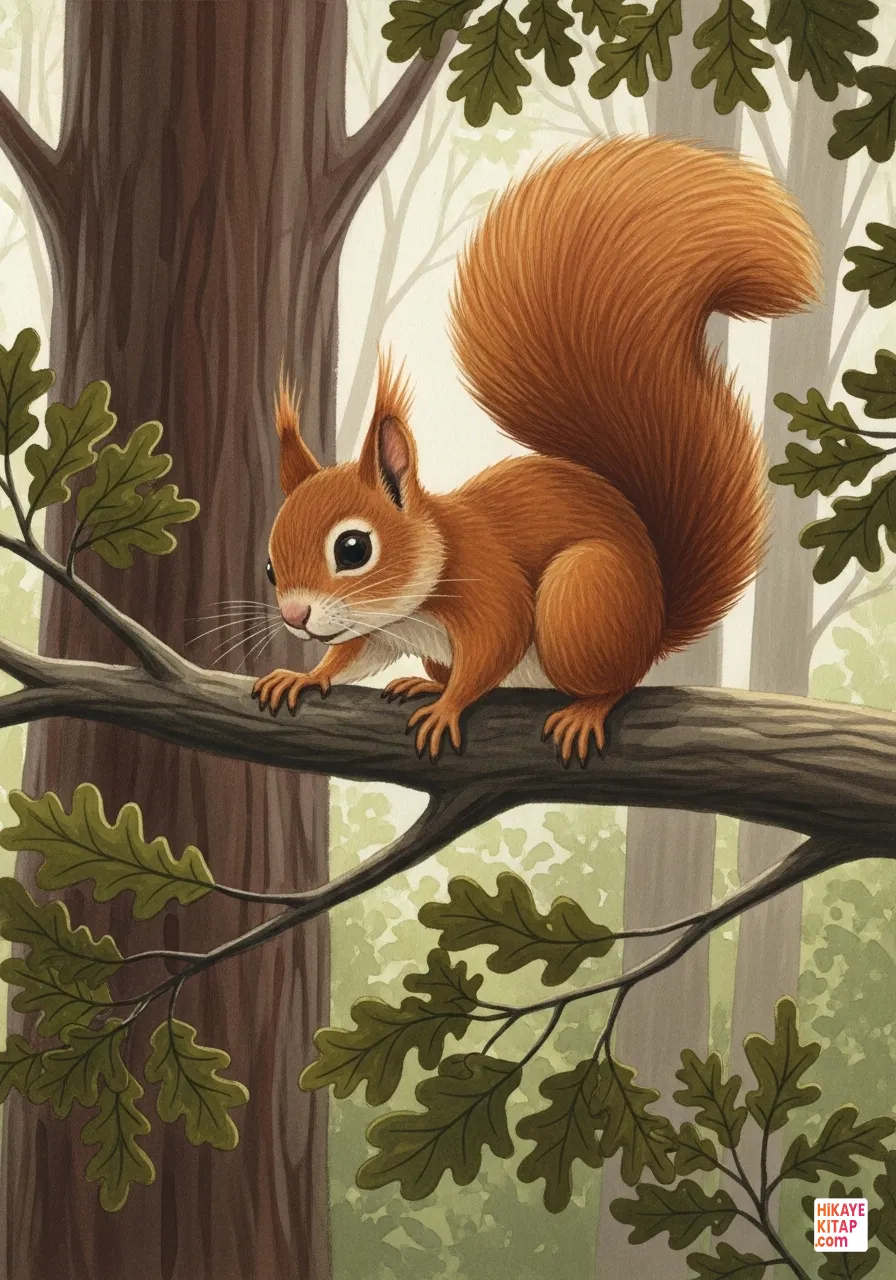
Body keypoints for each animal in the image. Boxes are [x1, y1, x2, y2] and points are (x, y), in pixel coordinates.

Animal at [252, 134, 819, 764]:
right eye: (270, 567)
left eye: (353, 549)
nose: (295, 616)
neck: (427, 574)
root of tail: (655, 622)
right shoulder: (378, 630)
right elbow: (351, 654)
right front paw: (306, 674)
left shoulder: (491, 589)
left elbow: (493, 649)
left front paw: (449, 707)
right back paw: (424, 681)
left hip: (580, 600)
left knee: (618, 681)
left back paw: (583, 708)